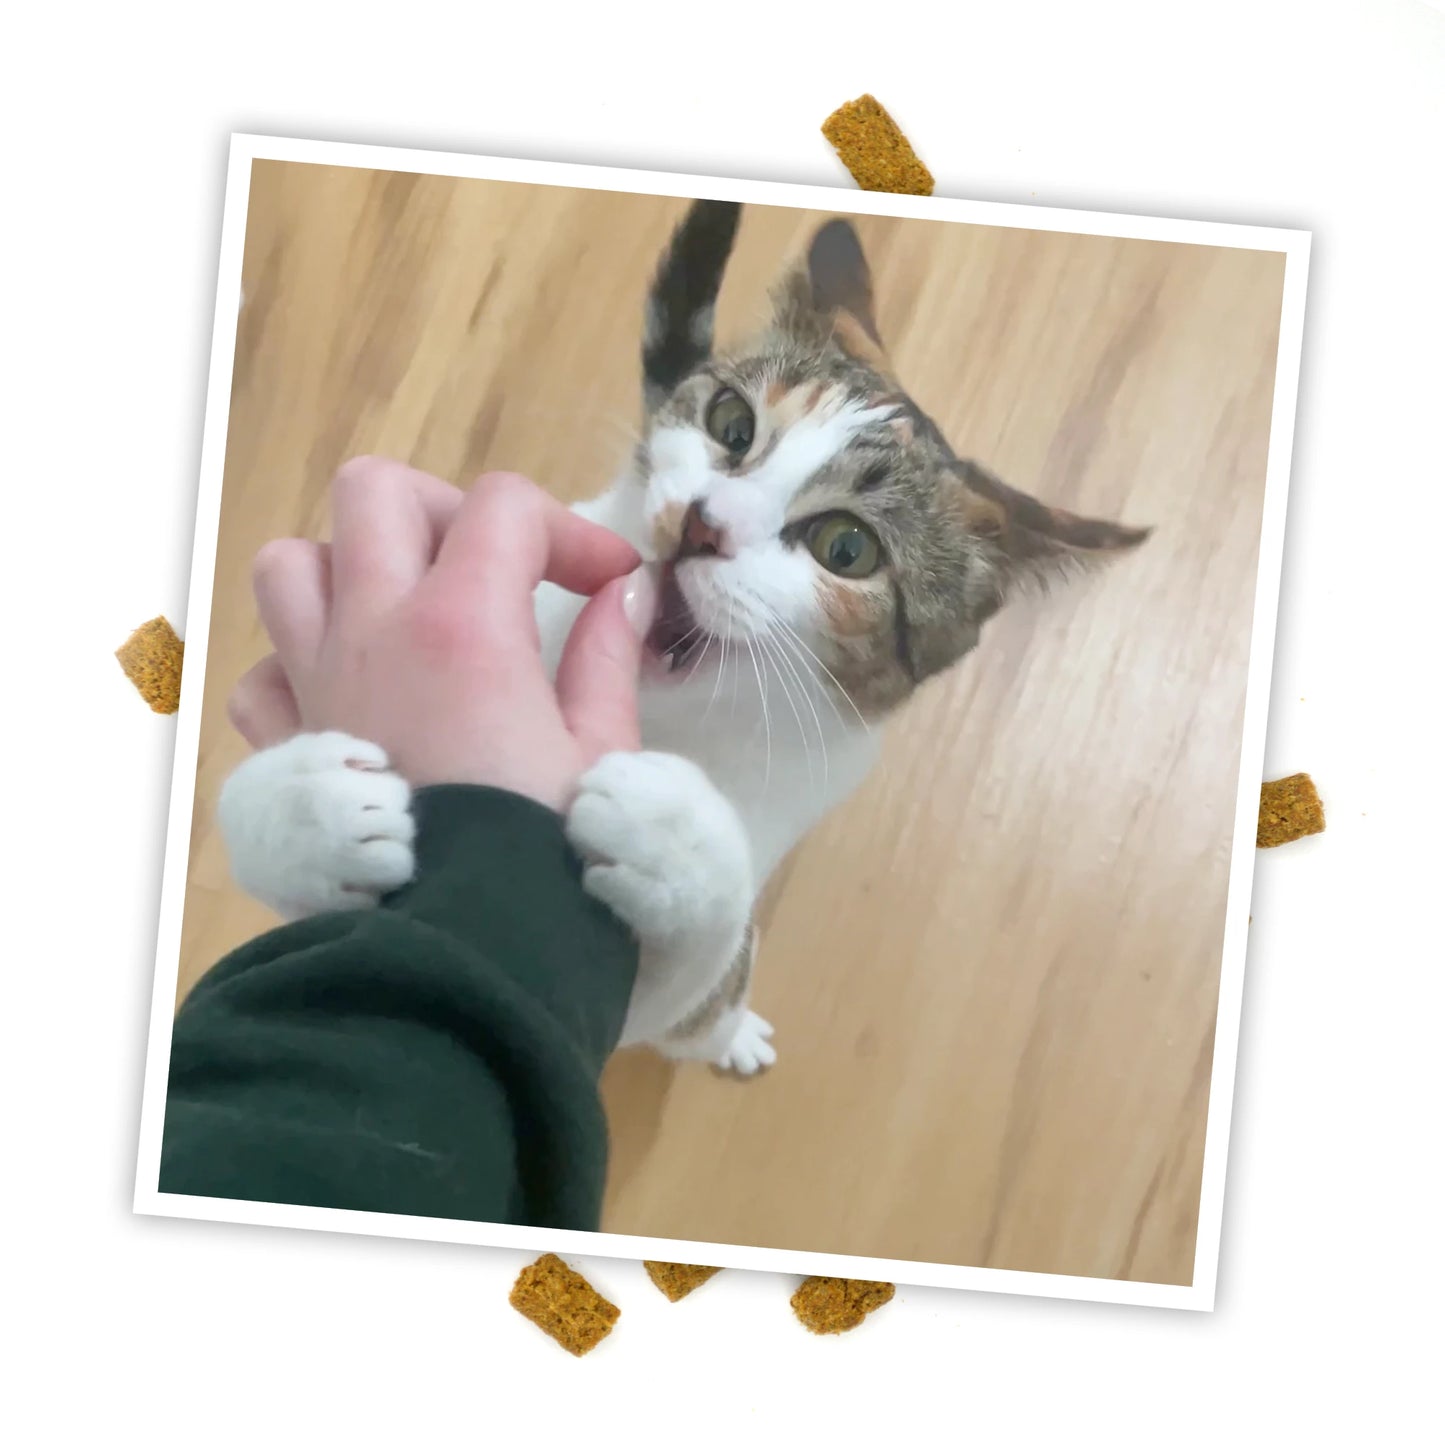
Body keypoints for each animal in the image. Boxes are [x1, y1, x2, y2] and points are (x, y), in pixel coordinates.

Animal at [216, 195, 1150, 1075]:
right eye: (732, 425)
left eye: (846, 549)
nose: (703, 523)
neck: (658, 708)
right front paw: (294, 806)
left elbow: (635, 986)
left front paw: (674, 835)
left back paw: (733, 1031)